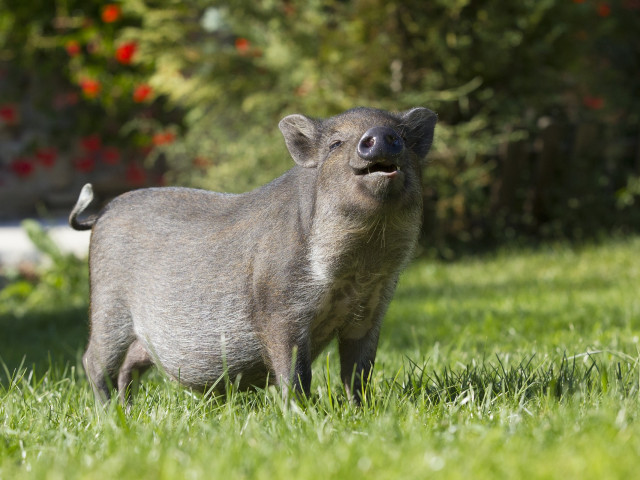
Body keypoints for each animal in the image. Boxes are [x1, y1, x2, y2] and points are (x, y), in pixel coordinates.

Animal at [72, 106, 438, 404]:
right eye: (335, 143)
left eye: (403, 137)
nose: (380, 135)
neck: (359, 268)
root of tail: (101, 213)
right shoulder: (279, 309)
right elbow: (295, 372)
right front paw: (301, 413)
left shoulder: (370, 311)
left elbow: (358, 372)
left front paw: (359, 410)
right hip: (108, 306)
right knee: (93, 361)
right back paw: (109, 413)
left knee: (128, 367)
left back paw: (127, 410)